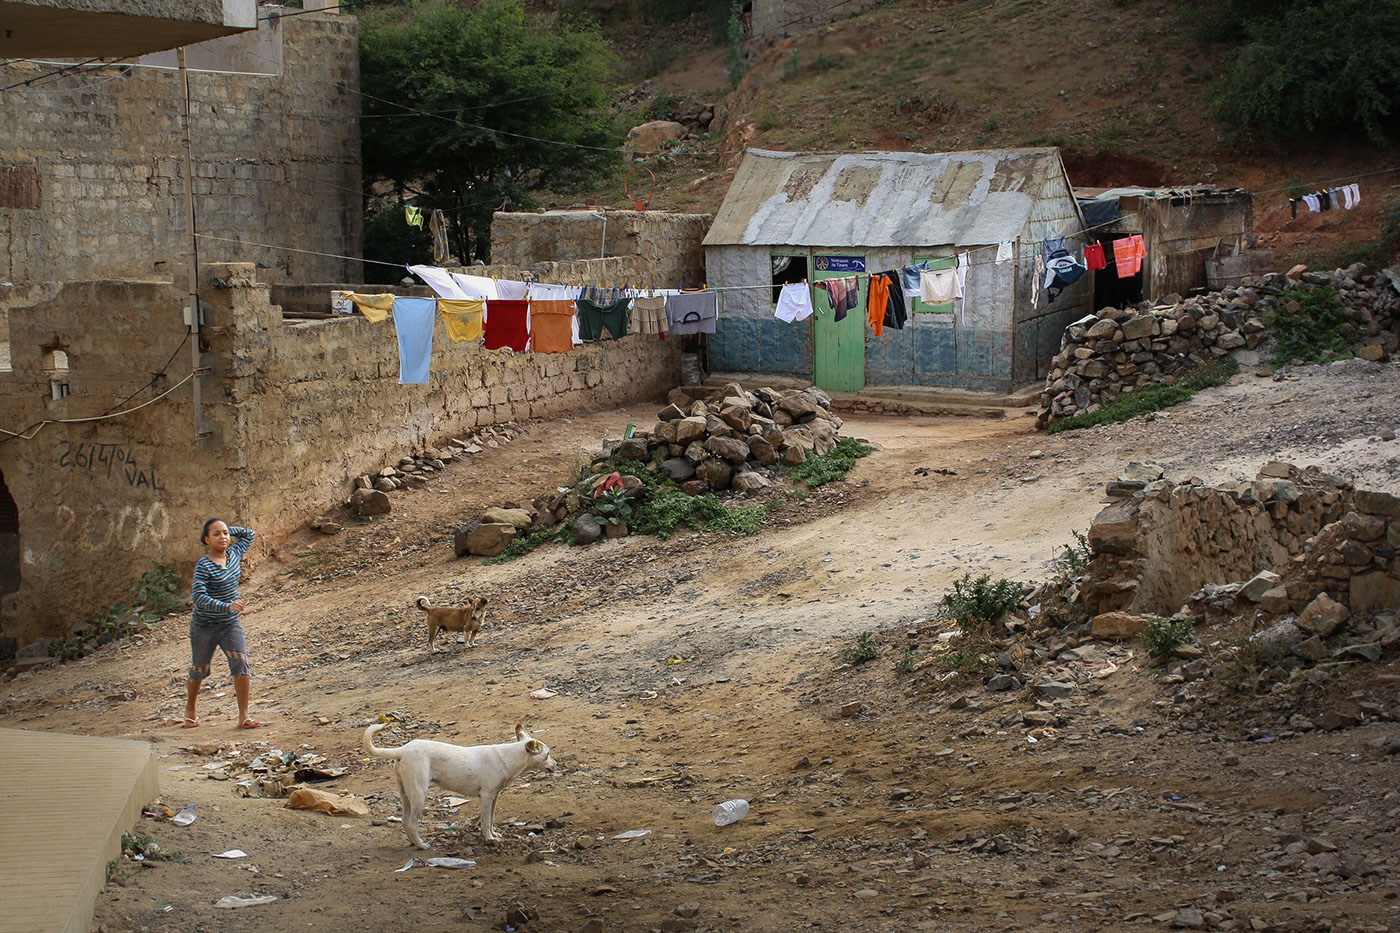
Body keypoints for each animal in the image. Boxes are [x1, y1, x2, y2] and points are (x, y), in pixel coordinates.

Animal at [361, 722, 557, 846]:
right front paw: (489, 839)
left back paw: (413, 843)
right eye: (547, 754)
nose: (556, 765)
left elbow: (491, 819)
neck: (510, 757)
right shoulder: (486, 796)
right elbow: (486, 821)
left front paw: (494, 834)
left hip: (405, 794)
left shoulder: (494, 797)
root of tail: (402, 749)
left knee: (403, 821)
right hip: (419, 794)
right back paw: (422, 846)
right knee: (412, 823)